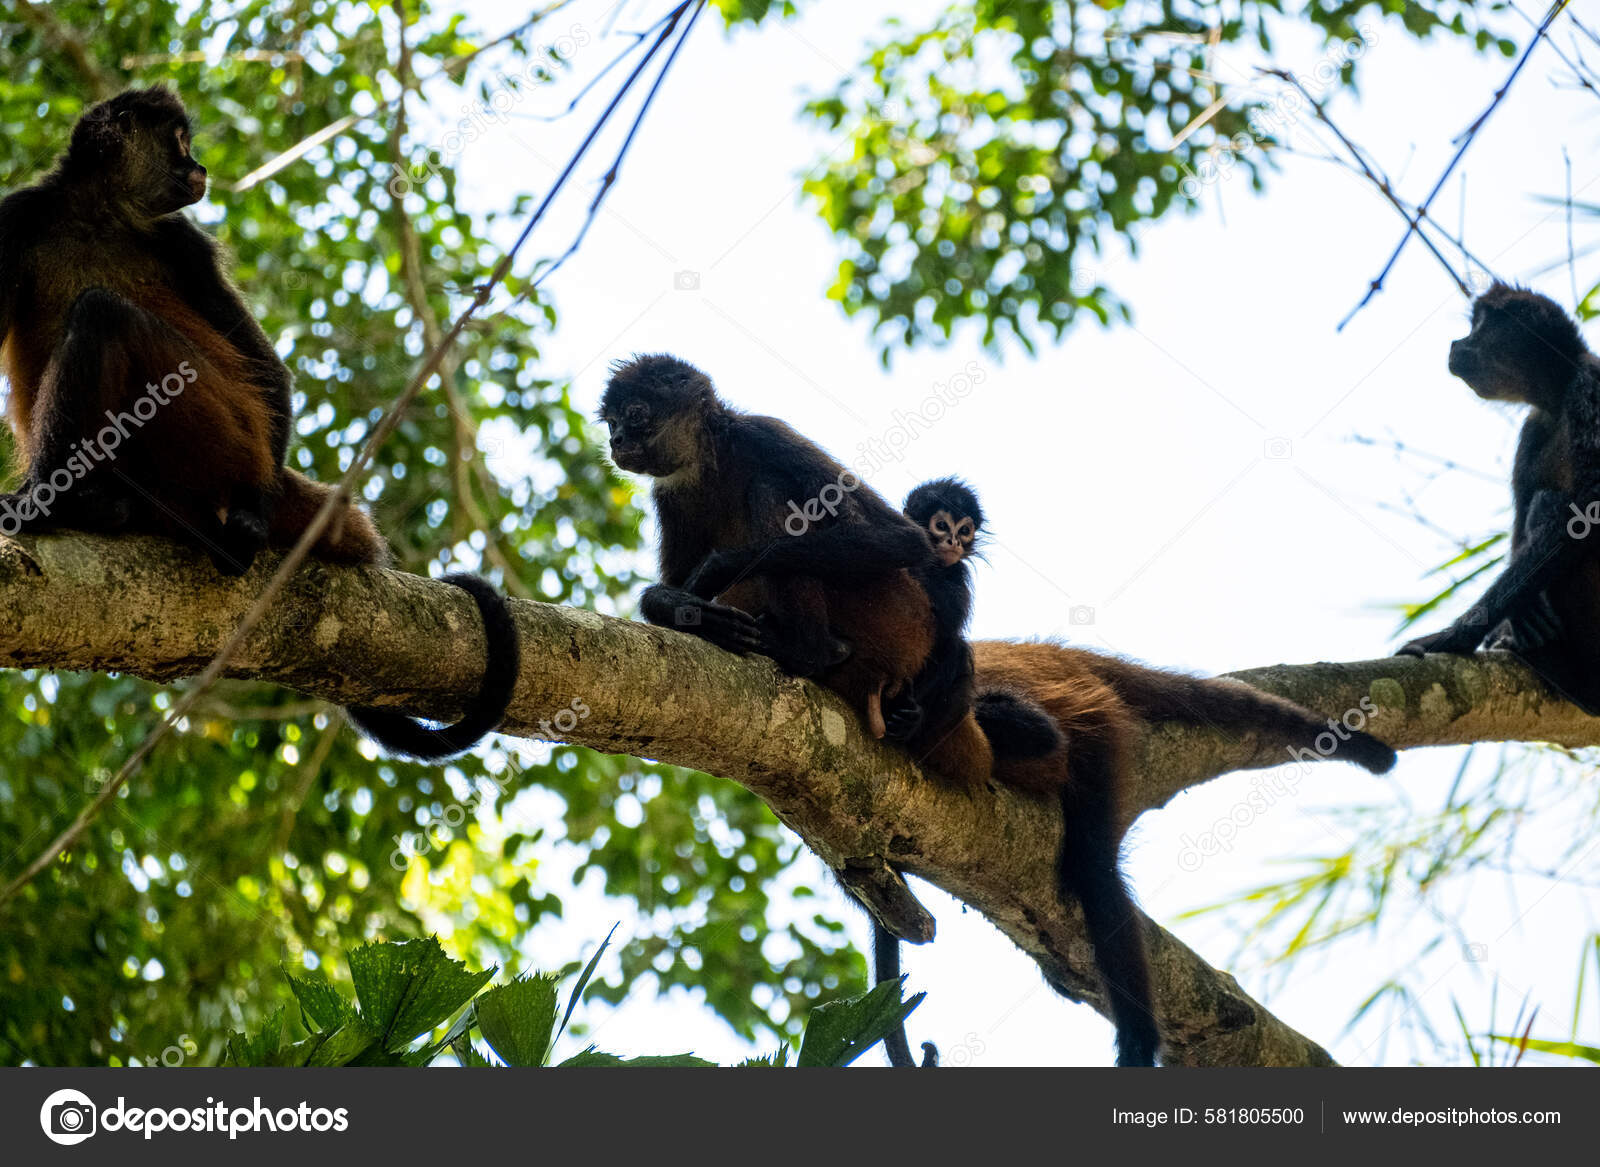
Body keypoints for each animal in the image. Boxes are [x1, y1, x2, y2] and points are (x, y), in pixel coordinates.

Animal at [0, 82, 515, 755]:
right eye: (180, 142)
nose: (199, 166)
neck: (99, 217)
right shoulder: (18, 216)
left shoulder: (183, 242)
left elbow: (268, 370)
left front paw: (252, 511)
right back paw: (97, 504)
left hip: (223, 428)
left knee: (103, 312)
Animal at [1395, 284, 1600, 713]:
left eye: (1481, 326)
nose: (1456, 343)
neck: (1558, 398)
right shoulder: (1533, 427)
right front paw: (1517, 618)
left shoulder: (1590, 385)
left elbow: (1591, 507)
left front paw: (1453, 637)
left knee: (1551, 503)